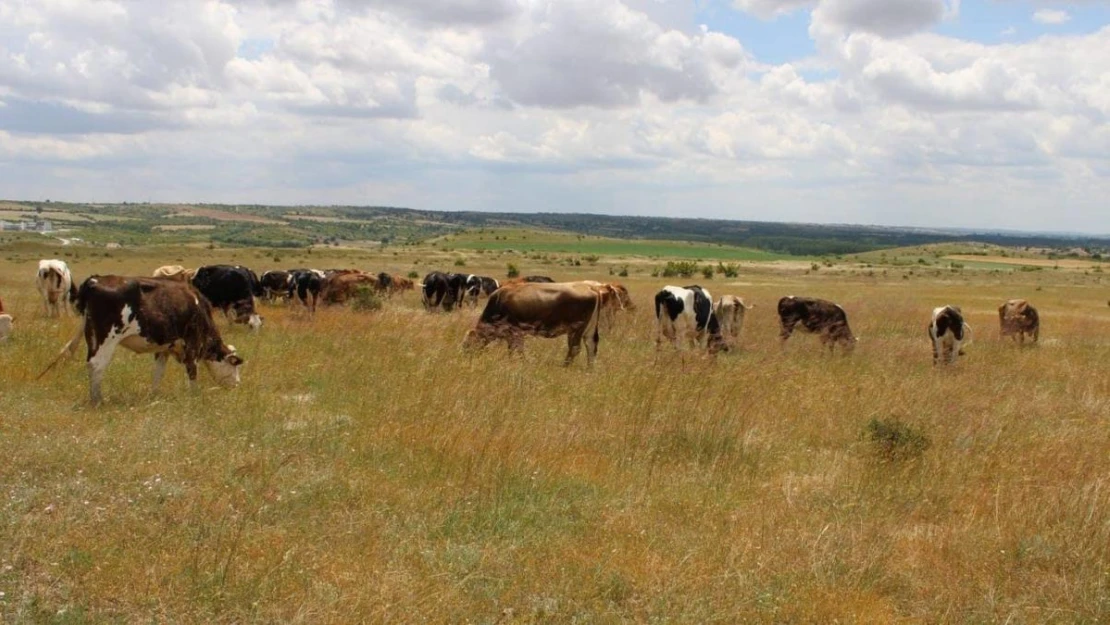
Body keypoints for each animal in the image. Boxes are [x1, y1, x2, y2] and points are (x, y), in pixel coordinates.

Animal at [43, 275, 245, 406]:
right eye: (234, 365)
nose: (237, 384)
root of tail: (95, 280)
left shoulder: (164, 348)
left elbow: (158, 372)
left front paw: (153, 395)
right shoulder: (192, 344)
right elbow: (192, 372)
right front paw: (194, 396)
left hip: (91, 336)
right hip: (107, 338)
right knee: (96, 365)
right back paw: (98, 400)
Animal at [461, 279, 608, 366]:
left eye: (467, 345)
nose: (465, 357)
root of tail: (591, 287)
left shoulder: (514, 332)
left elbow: (516, 349)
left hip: (576, 329)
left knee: (574, 348)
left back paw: (564, 366)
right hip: (587, 330)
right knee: (591, 347)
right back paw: (589, 370)